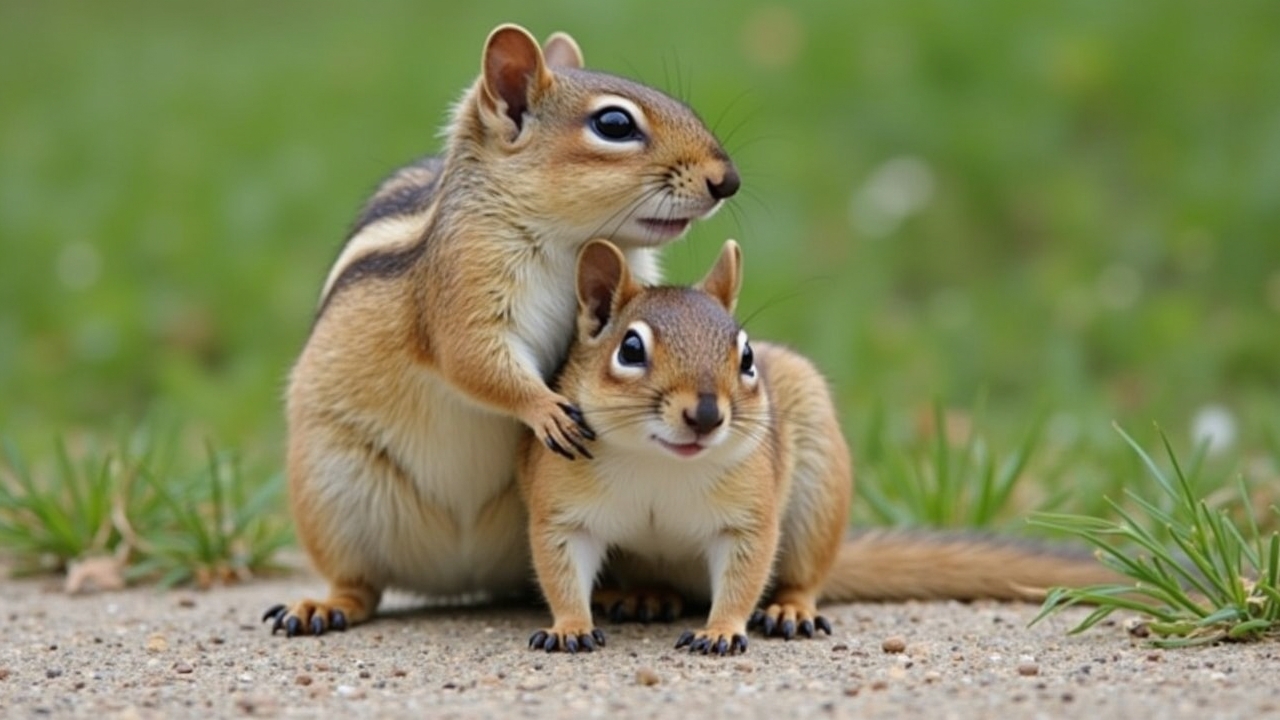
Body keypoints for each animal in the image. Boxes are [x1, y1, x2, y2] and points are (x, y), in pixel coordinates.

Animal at [264, 24, 739, 637]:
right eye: (615, 125)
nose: (728, 180)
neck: (566, 242)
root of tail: (458, 573)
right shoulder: (462, 286)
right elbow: (472, 359)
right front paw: (545, 409)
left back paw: (635, 594)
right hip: (330, 494)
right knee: (360, 585)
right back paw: (322, 606)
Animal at [517, 239, 1121, 655]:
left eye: (746, 357)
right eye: (630, 349)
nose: (707, 415)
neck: (658, 464)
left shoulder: (750, 515)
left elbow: (743, 578)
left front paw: (721, 630)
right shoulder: (561, 510)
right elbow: (560, 571)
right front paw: (570, 626)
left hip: (815, 500)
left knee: (805, 575)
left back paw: (790, 609)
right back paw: (642, 596)